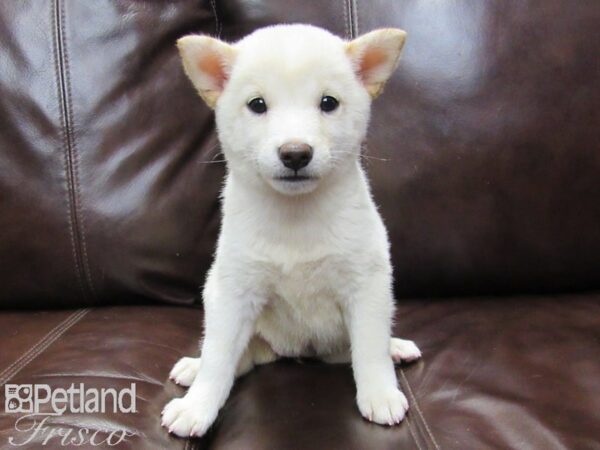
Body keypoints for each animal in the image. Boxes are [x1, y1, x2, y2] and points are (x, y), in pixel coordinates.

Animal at [162, 23, 420, 436]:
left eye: (328, 102)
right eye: (257, 104)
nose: (295, 153)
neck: (295, 217)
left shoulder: (365, 285)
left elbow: (369, 348)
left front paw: (379, 392)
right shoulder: (234, 292)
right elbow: (219, 357)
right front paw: (197, 406)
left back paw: (395, 348)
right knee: (238, 356)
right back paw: (194, 366)